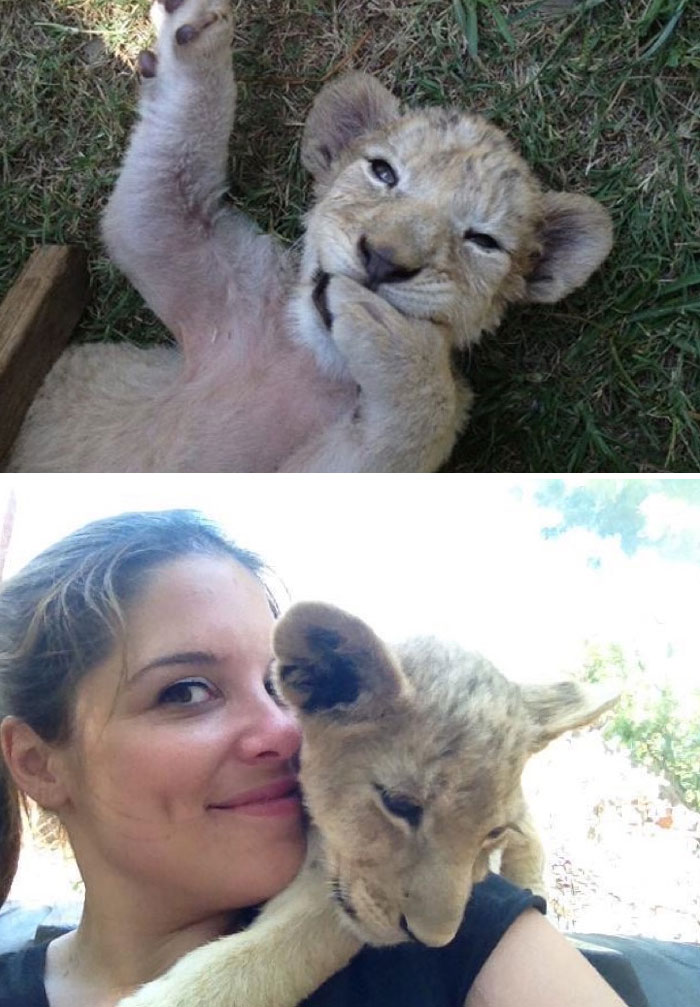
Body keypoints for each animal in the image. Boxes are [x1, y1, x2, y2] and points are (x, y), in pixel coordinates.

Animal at [8, 0, 613, 473]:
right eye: (383, 172)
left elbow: (424, 413)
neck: (309, 362)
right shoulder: (193, 253)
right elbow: (159, 186)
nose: (383, 260)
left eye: (483, 241)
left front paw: (395, 339)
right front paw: (194, 32)